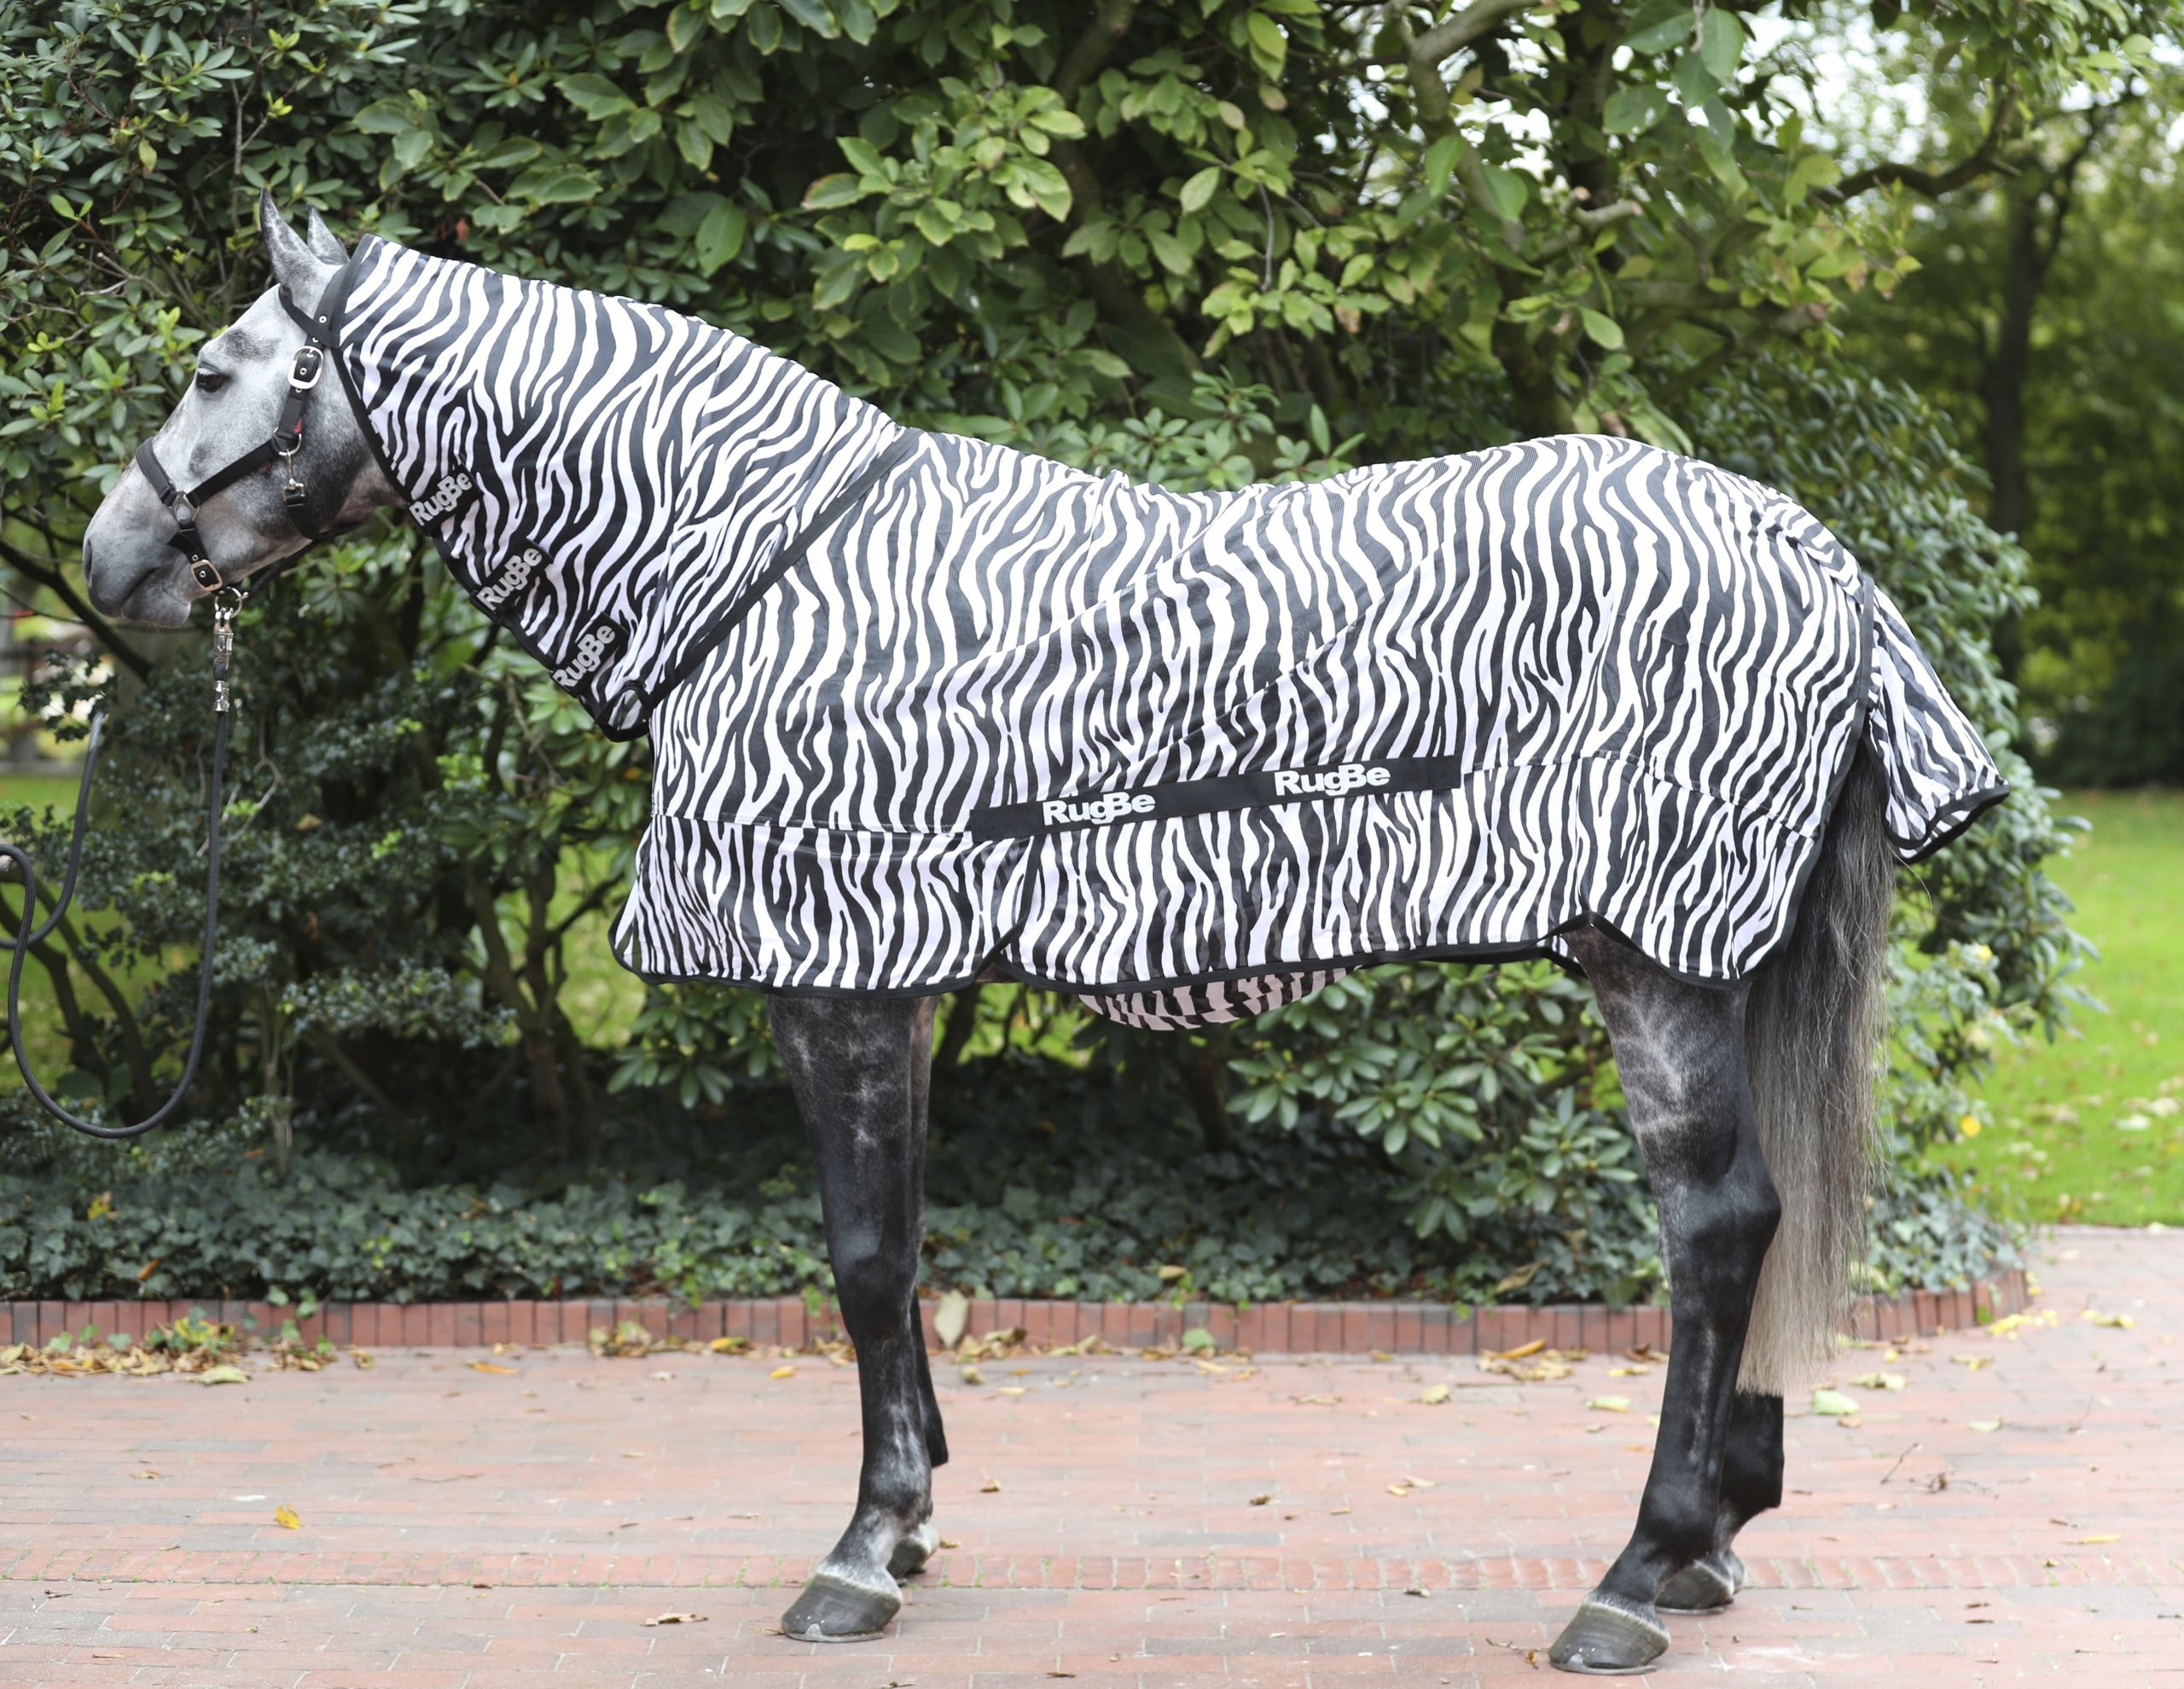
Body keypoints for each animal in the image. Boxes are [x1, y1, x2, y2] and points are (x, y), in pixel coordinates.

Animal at [81, 193, 2006, 1675]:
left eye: (213, 370)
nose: (107, 566)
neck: (760, 575)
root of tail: (1807, 552)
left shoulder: (832, 981)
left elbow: (862, 1260)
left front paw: (860, 1554)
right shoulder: (899, 983)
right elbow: (903, 1241)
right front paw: (915, 1512)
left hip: (1649, 960)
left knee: (1714, 1229)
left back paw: (1630, 1577)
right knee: (1743, 1231)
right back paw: (1706, 1546)